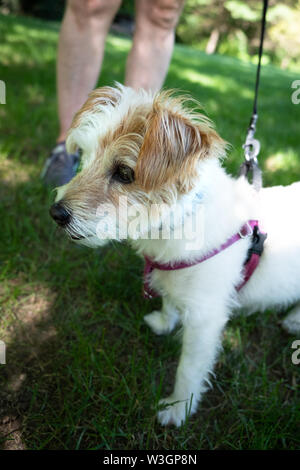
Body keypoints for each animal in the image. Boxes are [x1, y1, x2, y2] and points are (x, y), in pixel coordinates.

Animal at [50, 84, 300, 426]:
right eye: (84, 158)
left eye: (124, 172)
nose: (56, 213)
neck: (180, 221)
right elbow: (168, 302)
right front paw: (163, 322)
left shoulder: (205, 321)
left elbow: (188, 370)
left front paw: (178, 408)